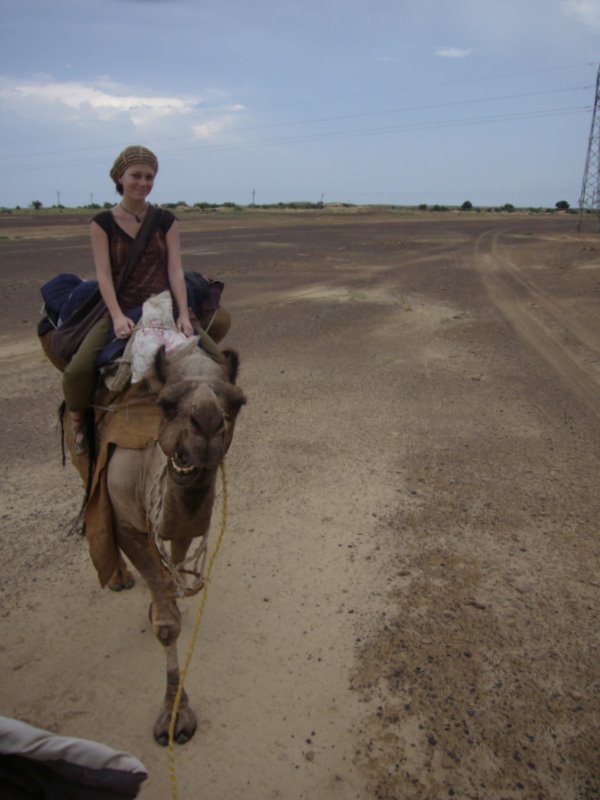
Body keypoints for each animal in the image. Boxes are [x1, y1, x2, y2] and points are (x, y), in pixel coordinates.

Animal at [65, 340, 246, 745]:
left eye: (238, 402)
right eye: (167, 403)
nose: (207, 422)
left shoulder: (183, 526)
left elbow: (174, 567)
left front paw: (169, 595)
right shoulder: (127, 526)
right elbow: (167, 625)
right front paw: (173, 717)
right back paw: (119, 578)